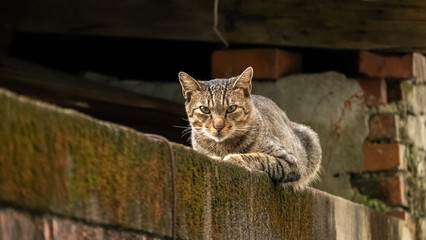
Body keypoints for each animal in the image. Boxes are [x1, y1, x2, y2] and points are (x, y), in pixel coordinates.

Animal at [178, 66, 322, 188]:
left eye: (231, 108)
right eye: (205, 109)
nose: (218, 126)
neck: (222, 147)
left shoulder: (290, 161)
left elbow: (262, 159)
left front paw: (234, 158)